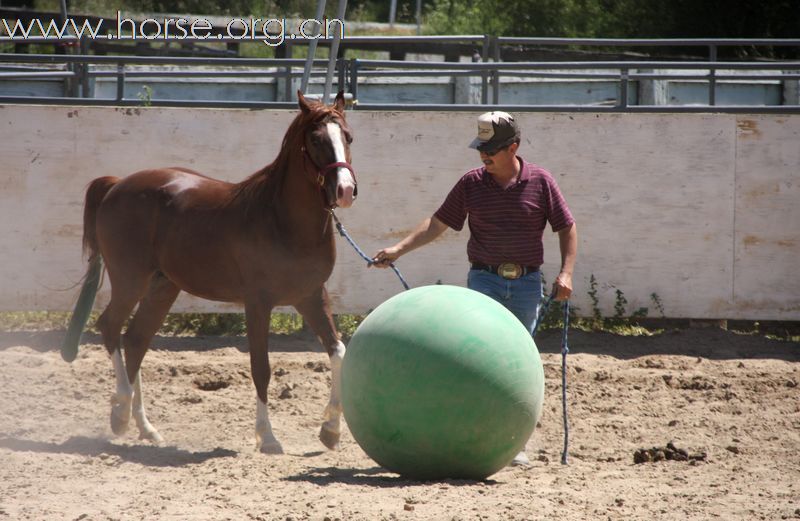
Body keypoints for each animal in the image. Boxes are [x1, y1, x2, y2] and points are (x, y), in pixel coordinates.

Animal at [65, 90, 356, 450]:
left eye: (348, 137)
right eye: (316, 140)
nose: (345, 191)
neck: (281, 220)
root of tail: (117, 185)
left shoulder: (312, 296)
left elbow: (338, 352)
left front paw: (330, 430)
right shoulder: (258, 303)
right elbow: (261, 367)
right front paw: (267, 437)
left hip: (162, 287)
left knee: (135, 341)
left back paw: (146, 428)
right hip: (130, 279)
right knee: (110, 326)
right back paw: (120, 413)